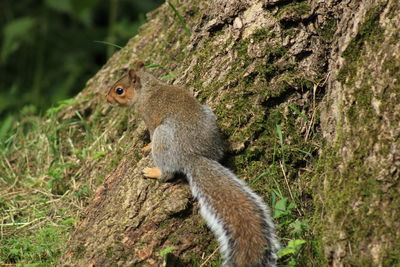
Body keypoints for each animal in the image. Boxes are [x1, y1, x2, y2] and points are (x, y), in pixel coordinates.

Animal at [107, 62, 282, 267]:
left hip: (163, 137)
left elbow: (150, 134)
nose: (107, 99)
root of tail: (193, 156)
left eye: (119, 90)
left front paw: (146, 146)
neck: (148, 87)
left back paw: (154, 172)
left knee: (168, 173)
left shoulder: (150, 117)